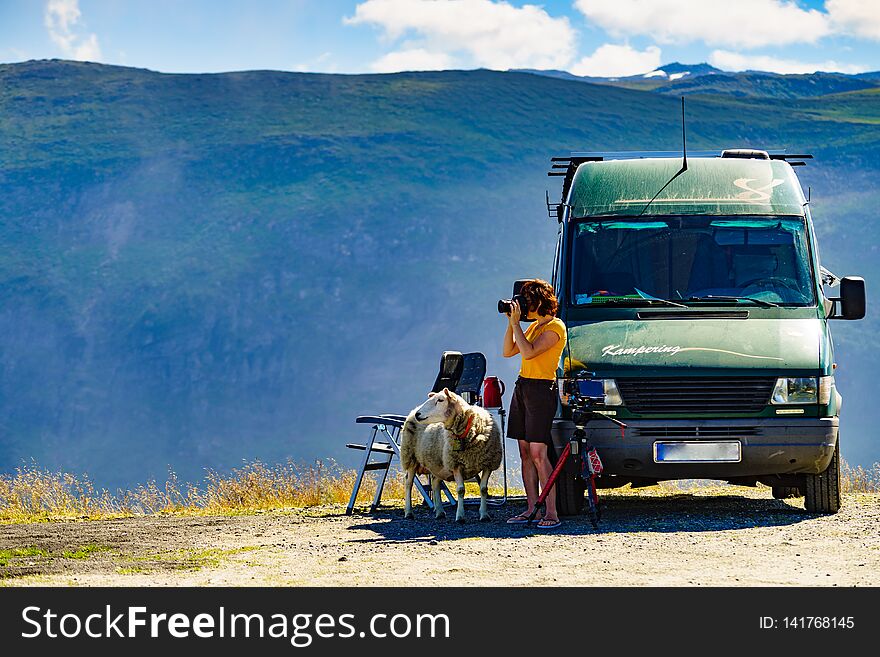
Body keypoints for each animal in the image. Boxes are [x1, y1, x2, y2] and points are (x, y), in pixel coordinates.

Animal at [400, 386, 502, 520]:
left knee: (435, 484)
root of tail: (412, 411)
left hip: (436, 462)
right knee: (408, 483)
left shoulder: (489, 463)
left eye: (440, 400)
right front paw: (460, 516)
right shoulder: (455, 464)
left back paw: (439, 511)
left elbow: (484, 489)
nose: (418, 414)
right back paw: (408, 512)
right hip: (410, 457)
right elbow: (461, 490)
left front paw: (484, 514)